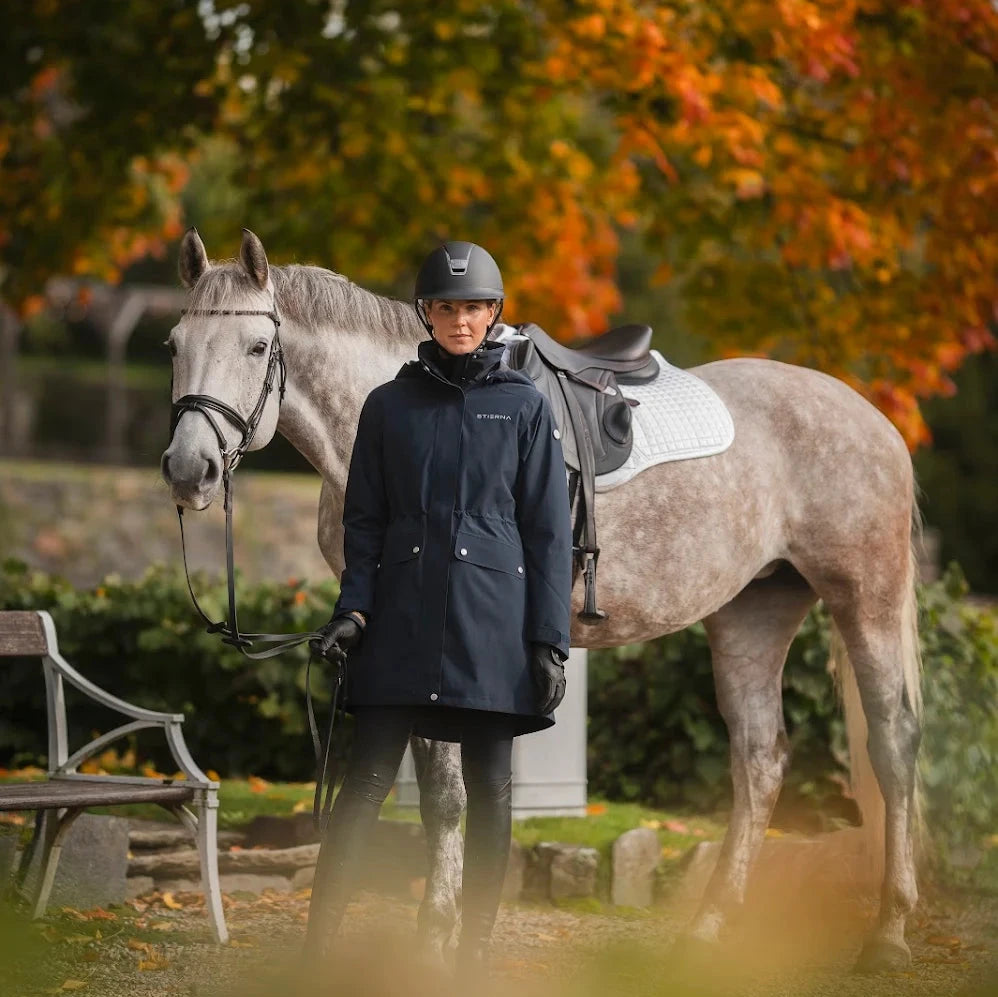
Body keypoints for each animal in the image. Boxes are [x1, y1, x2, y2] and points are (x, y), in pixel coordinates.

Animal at [162, 230, 920, 968]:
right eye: (174, 345)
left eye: (255, 347)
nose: (188, 469)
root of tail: (874, 421)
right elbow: (442, 797)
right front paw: (434, 935)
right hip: (753, 613)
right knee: (760, 760)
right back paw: (707, 931)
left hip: (866, 598)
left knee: (893, 744)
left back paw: (888, 933)